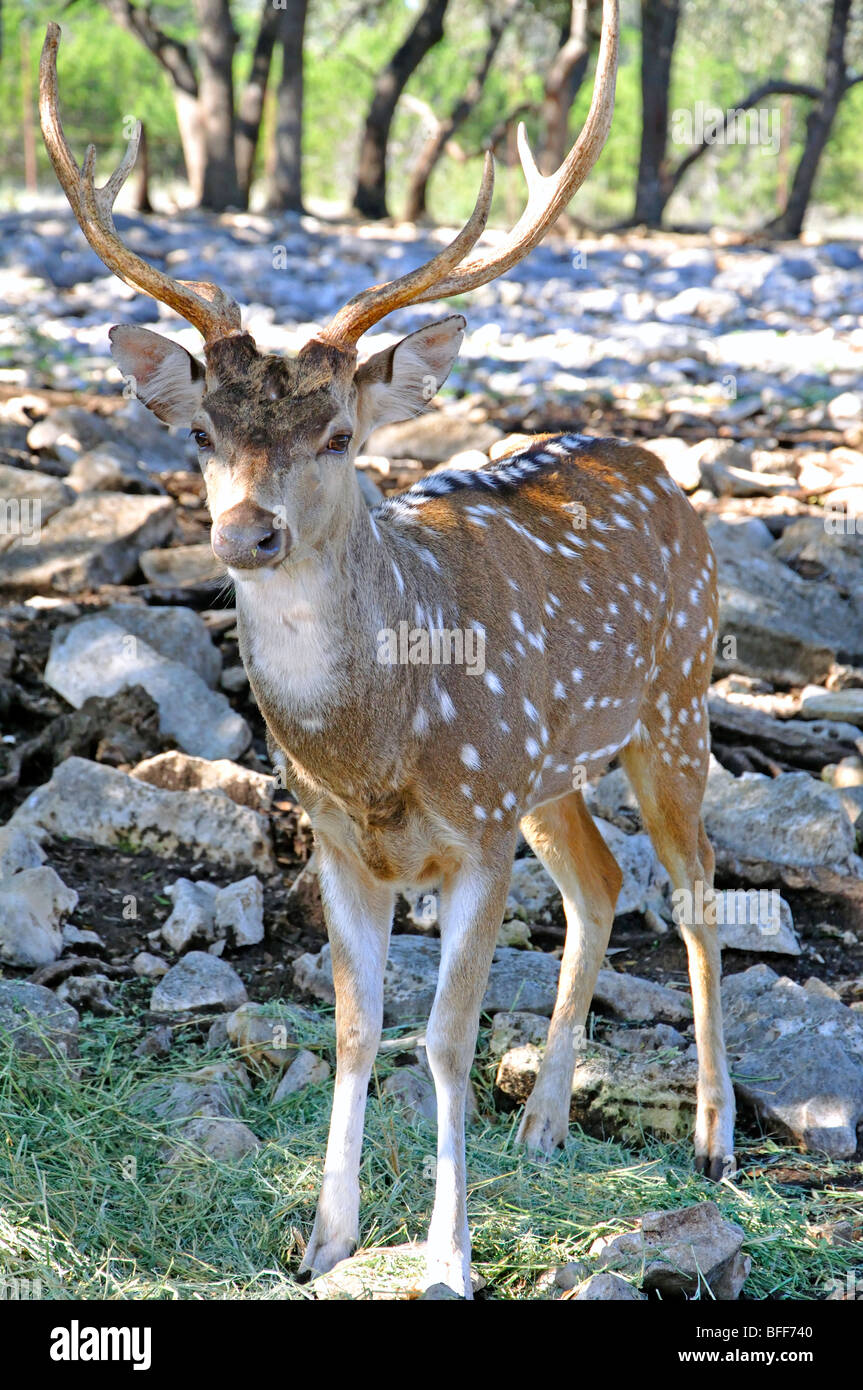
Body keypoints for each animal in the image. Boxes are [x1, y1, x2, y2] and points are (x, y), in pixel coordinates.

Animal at [40, 0, 734, 1299]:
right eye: (203, 432)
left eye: (337, 432)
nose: (246, 531)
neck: (370, 751)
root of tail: (656, 461)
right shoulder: (337, 842)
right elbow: (358, 1026)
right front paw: (325, 1238)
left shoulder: (474, 834)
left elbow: (448, 1038)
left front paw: (448, 1260)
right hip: (546, 774)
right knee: (599, 884)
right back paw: (544, 1123)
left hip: (673, 704)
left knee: (695, 888)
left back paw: (714, 1140)